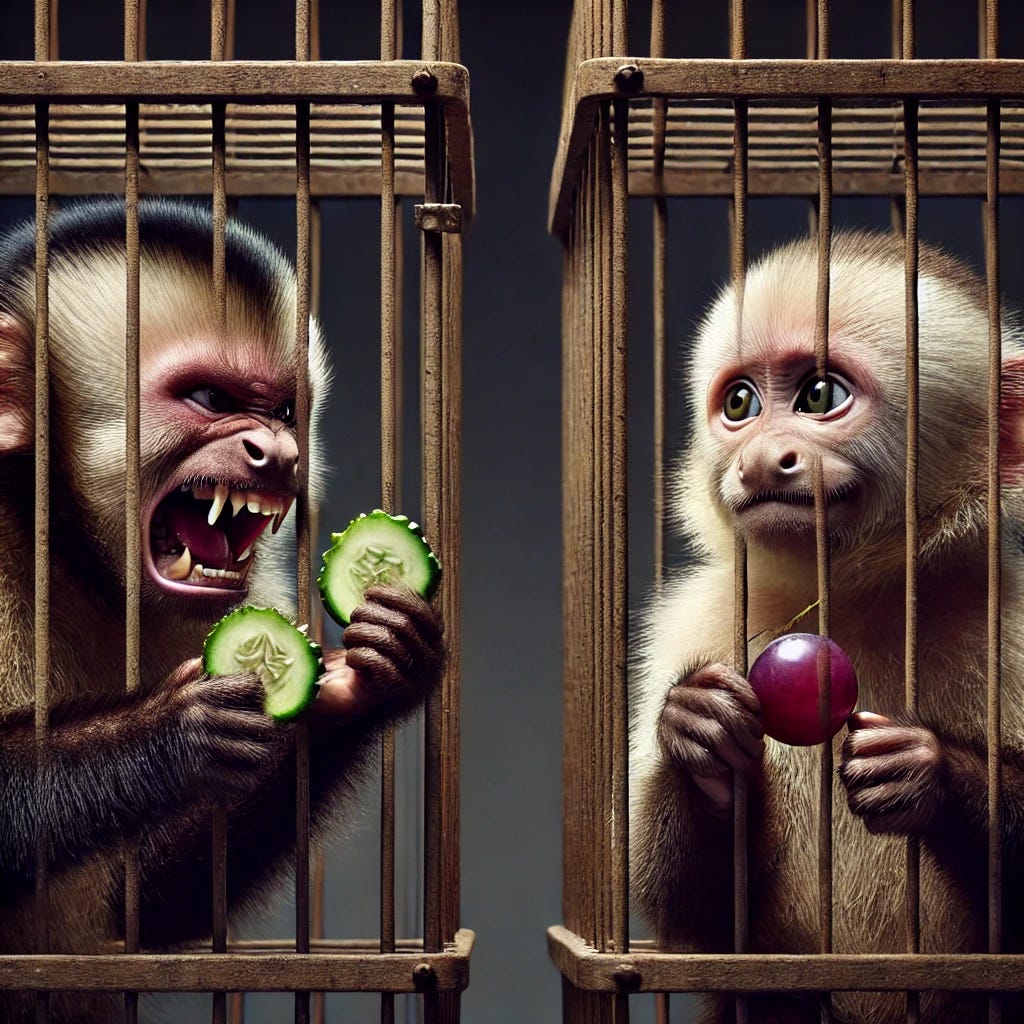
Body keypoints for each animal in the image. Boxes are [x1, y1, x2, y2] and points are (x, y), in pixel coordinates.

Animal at [0, 199, 444, 1024]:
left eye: (284, 410)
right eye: (209, 400)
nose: (281, 453)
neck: (64, 546)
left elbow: (147, 904)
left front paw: (367, 684)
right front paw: (170, 730)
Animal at [626, 234, 1024, 1024]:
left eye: (820, 396)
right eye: (740, 404)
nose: (759, 458)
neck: (850, 597)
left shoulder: (1017, 623)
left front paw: (928, 771)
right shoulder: (694, 622)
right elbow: (698, 921)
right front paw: (697, 734)